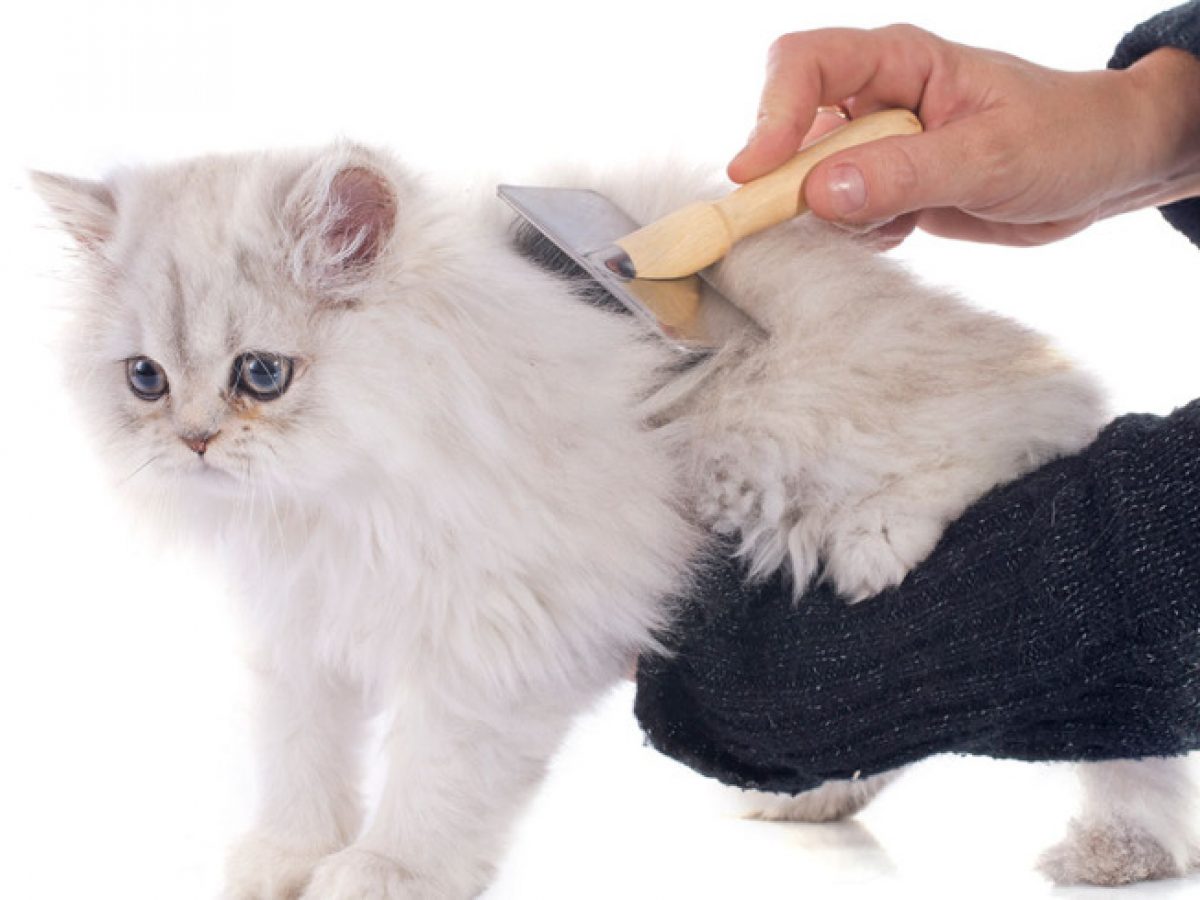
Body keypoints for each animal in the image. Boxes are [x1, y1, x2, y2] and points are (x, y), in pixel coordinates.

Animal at [32, 141, 1195, 897]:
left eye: (260, 376)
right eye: (144, 380)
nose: (192, 441)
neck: (334, 500)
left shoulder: (491, 643)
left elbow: (431, 783)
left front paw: (381, 872)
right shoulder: (305, 634)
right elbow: (299, 763)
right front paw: (283, 861)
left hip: (815, 434)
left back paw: (1114, 844)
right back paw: (809, 805)